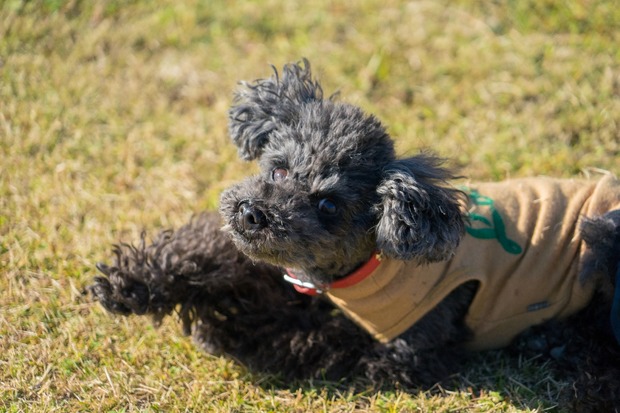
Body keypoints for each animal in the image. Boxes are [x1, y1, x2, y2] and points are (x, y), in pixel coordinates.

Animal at [89, 59, 620, 410]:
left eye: (328, 205)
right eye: (278, 170)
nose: (254, 214)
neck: (369, 264)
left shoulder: (405, 353)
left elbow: (308, 338)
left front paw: (223, 326)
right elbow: (217, 249)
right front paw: (132, 281)